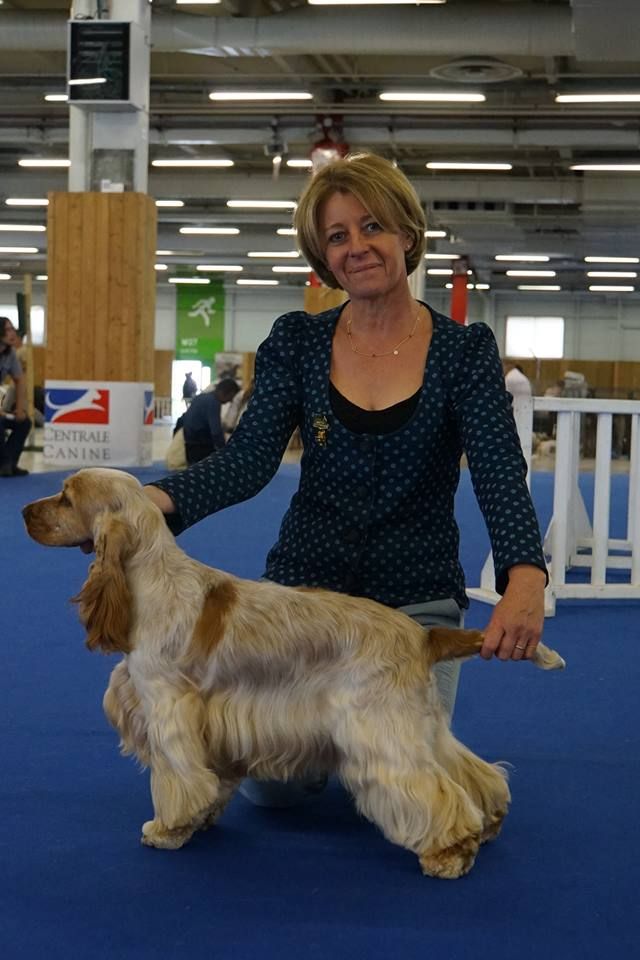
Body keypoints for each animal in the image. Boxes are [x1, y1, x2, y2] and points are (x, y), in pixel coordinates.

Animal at [23, 467, 564, 879]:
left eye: (66, 498)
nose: (25, 512)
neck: (149, 581)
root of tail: (421, 635)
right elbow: (211, 778)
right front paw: (203, 818)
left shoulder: (166, 706)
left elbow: (177, 777)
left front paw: (168, 830)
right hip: (419, 722)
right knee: (472, 773)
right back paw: (488, 824)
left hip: (376, 730)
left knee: (431, 792)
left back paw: (449, 853)